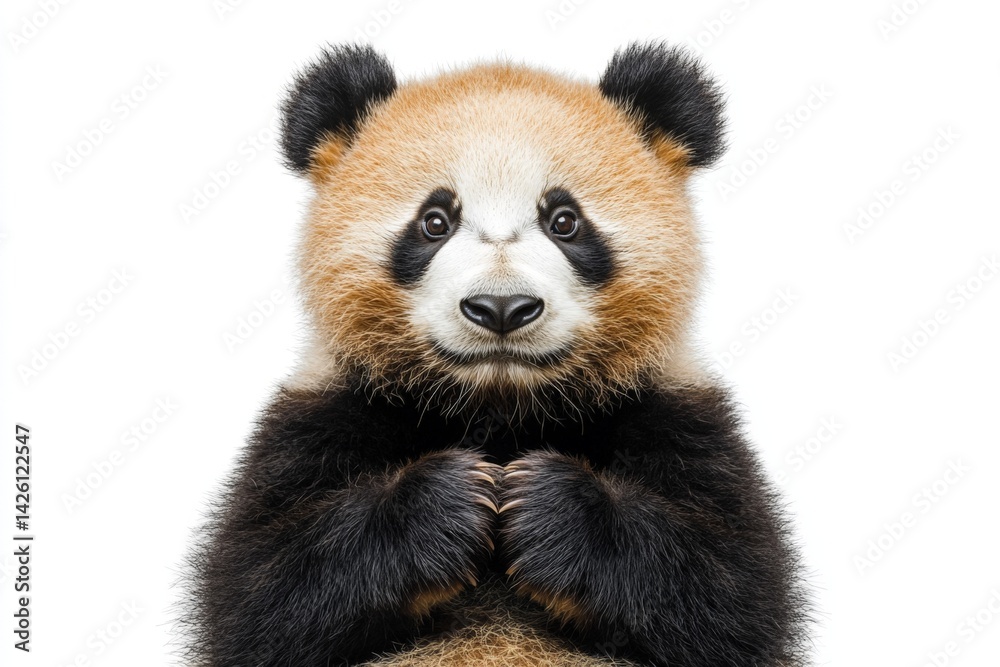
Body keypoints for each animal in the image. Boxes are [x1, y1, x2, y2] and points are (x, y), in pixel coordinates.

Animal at [186, 42, 809, 667]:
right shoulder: (321, 414)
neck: (500, 410)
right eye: (434, 221)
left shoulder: (677, 417)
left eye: (565, 221)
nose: (502, 308)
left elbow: (734, 592)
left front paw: (545, 508)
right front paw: (450, 504)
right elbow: (259, 591)